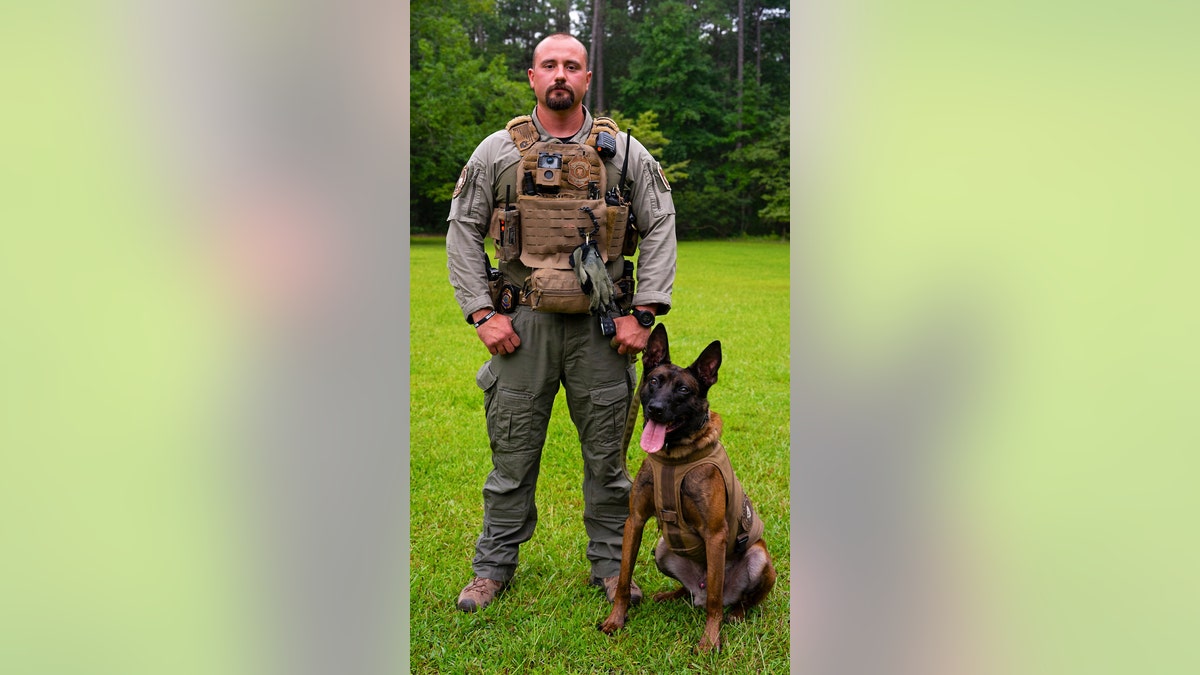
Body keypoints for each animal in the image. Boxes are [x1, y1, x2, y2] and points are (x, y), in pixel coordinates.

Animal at [600, 324, 777, 648]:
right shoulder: (635, 521)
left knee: (731, 599)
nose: (655, 409)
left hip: (758, 559)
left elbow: (715, 603)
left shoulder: (715, 534)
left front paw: (709, 642)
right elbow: (622, 578)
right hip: (662, 548)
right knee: (690, 591)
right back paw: (671, 594)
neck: (674, 457)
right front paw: (615, 620)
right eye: (653, 381)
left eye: (683, 390)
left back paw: (736, 614)